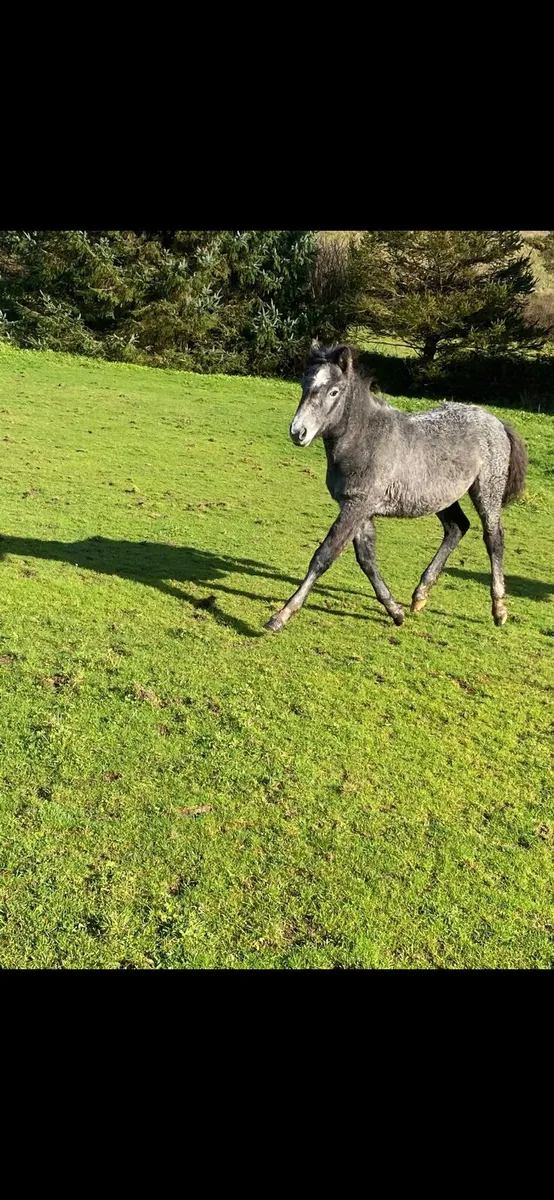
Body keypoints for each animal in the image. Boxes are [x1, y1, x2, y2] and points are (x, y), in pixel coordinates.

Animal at [265, 342, 528, 634]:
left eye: (334, 391)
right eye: (303, 384)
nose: (298, 432)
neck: (365, 439)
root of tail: (496, 420)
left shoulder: (357, 506)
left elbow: (324, 555)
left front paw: (282, 615)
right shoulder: (358, 506)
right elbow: (367, 560)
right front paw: (396, 612)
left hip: (487, 489)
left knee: (493, 537)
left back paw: (499, 609)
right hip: (441, 496)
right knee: (457, 527)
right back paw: (420, 595)